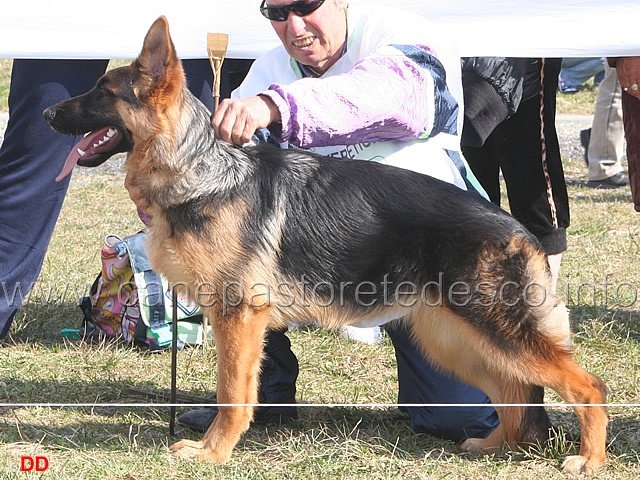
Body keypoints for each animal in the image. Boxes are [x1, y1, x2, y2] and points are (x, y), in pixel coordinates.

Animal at [43, 16, 604, 474]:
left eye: (102, 93)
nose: (47, 115)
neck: (200, 169)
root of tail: (520, 231)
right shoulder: (240, 322)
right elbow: (241, 387)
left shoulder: (238, 316)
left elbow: (231, 392)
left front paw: (213, 453)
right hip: (457, 340)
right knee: (514, 391)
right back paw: (493, 445)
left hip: (496, 333)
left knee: (585, 386)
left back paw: (588, 459)